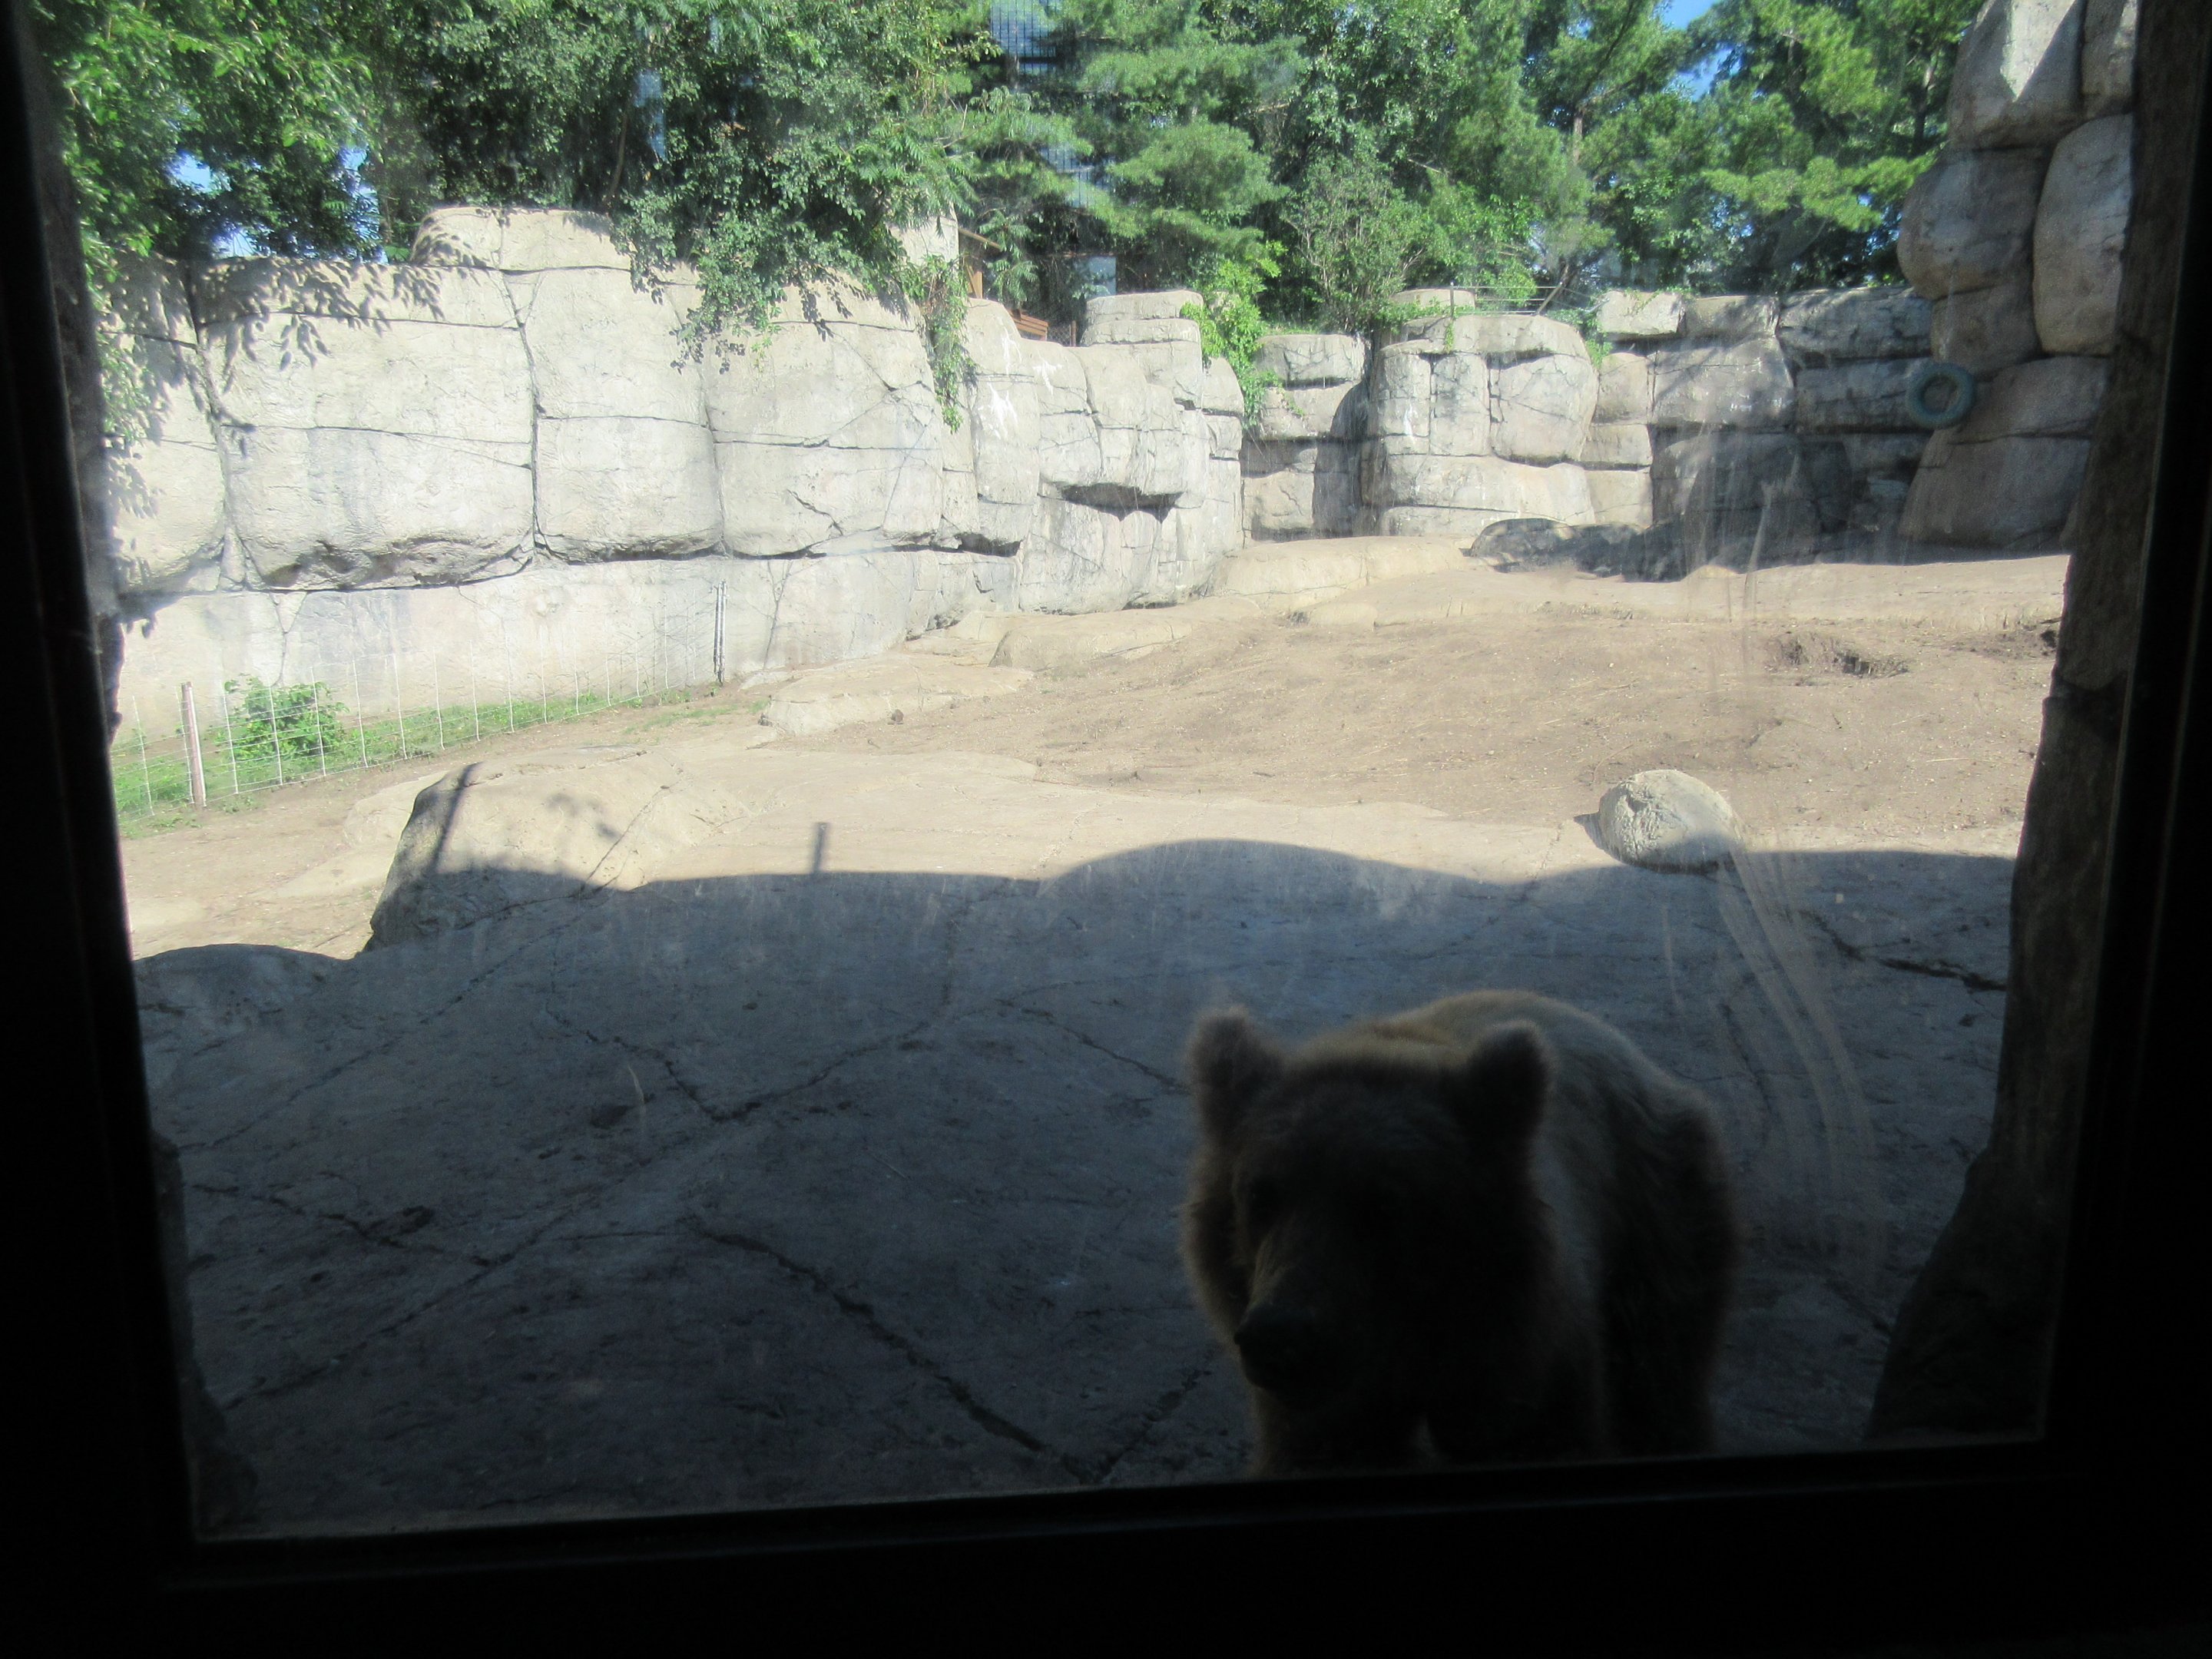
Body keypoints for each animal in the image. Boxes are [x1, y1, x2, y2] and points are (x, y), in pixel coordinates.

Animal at [1180, 989, 1738, 1476]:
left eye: (1384, 1206)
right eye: (1260, 1196)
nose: (1281, 1336)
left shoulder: (1523, 1354)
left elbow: (1539, 1436)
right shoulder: (1328, 1408)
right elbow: (1324, 1448)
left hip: (1656, 1216)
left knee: (1659, 1376)